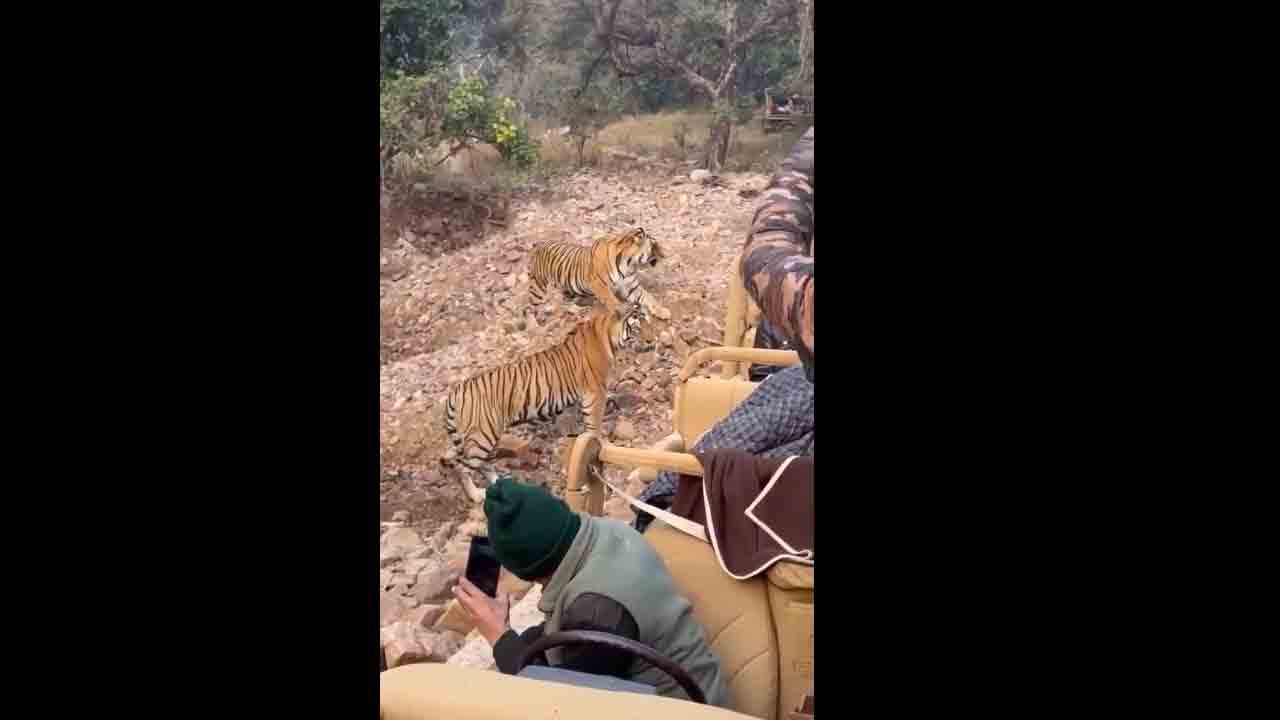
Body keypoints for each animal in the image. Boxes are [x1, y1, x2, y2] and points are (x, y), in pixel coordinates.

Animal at [443, 302, 647, 502]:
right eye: (638, 326)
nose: (650, 341)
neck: (607, 332)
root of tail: (456, 390)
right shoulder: (595, 394)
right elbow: (594, 426)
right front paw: (601, 447)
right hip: (482, 436)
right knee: (462, 466)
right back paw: (476, 495)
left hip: (483, 435)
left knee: (478, 464)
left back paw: (499, 483)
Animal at [527, 227, 672, 320]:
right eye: (655, 245)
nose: (665, 255)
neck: (629, 264)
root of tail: (538, 246)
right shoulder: (598, 284)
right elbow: (611, 299)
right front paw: (623, 310)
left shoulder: (631, 286)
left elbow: (649, 298)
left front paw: (663, 311)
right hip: (538, 287)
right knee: (531, 308)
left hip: (565, 286)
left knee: (565, 302)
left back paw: (577, 310)